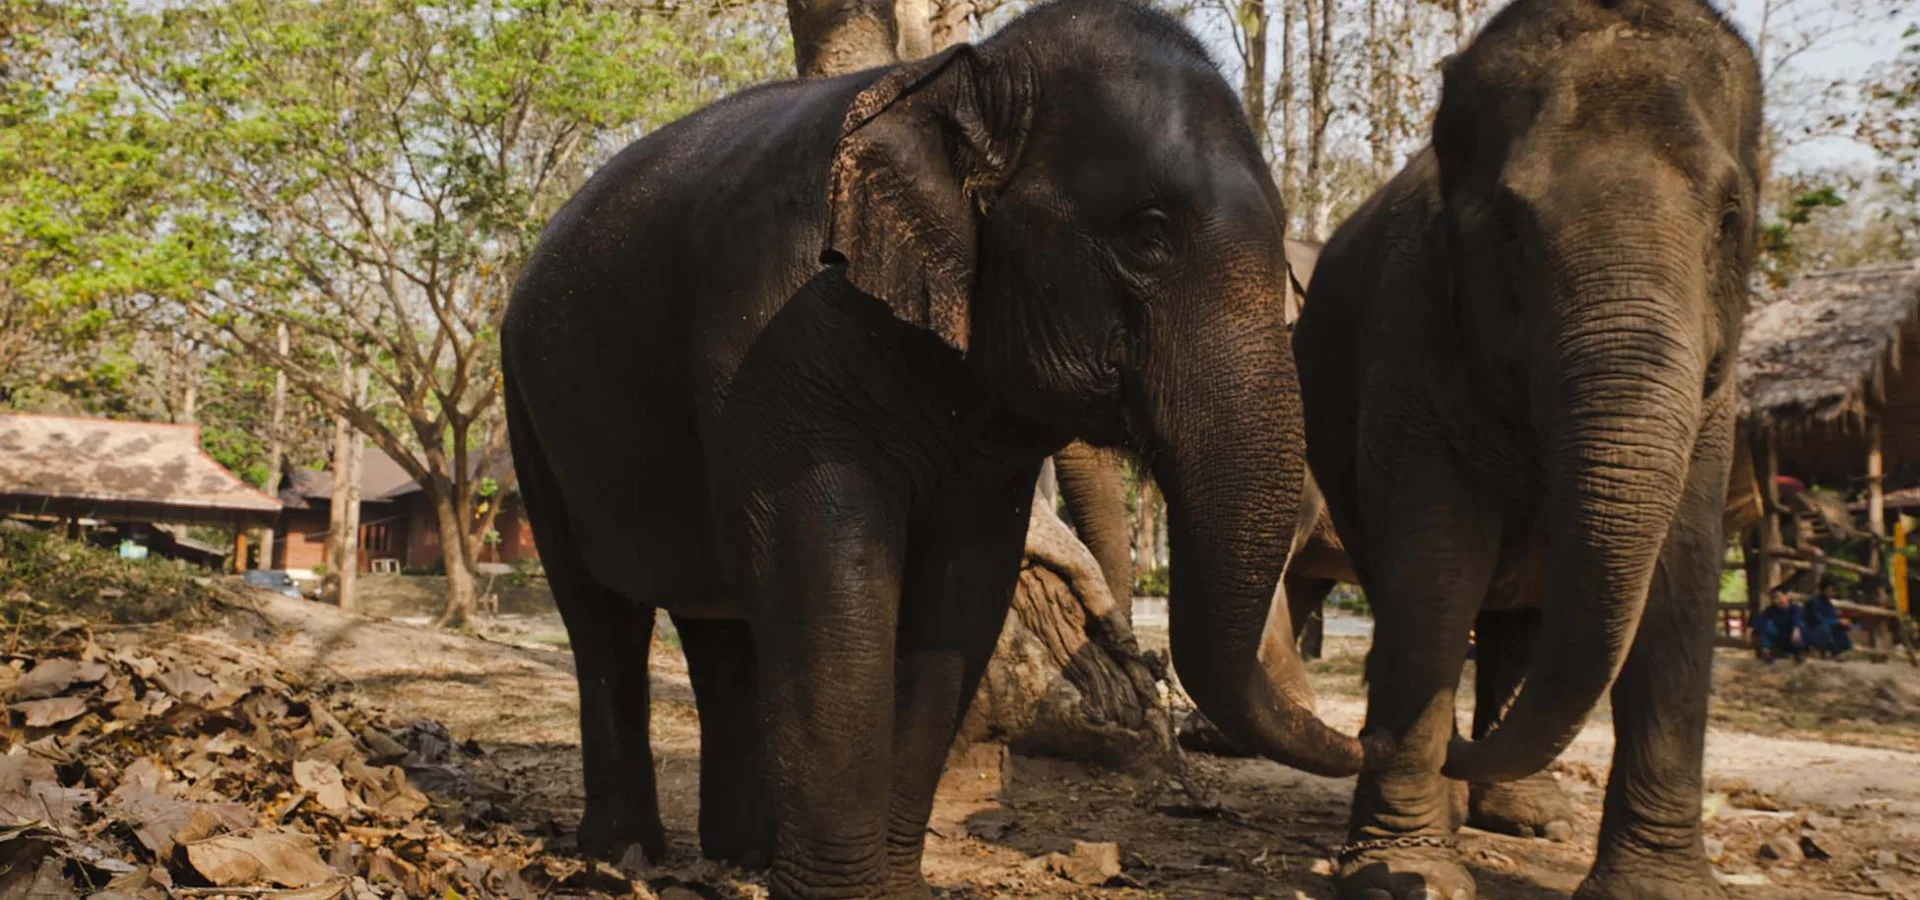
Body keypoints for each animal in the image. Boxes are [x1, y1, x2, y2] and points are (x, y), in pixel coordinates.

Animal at [500, 1, 1359, 896]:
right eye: (1148, 238)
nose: (1359, 742)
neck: (960, 75)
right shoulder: (777, 347)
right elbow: (826, 578)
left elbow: (961, 595)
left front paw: (895, 888)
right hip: (527, 407)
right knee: (603, 619)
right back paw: (621, 853)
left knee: (718, 628)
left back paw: (742, 853)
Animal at [1290, 0, 1763, 896]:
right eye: (1507, 228)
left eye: (1731, 220)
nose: (1376, 739)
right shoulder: (1412, 338)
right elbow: (1435, 566)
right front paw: (1406, 873)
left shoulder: (1714, 402)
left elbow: (1682, 574)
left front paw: (1659, 889)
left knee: (1518, 622)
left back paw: (1527, 815)